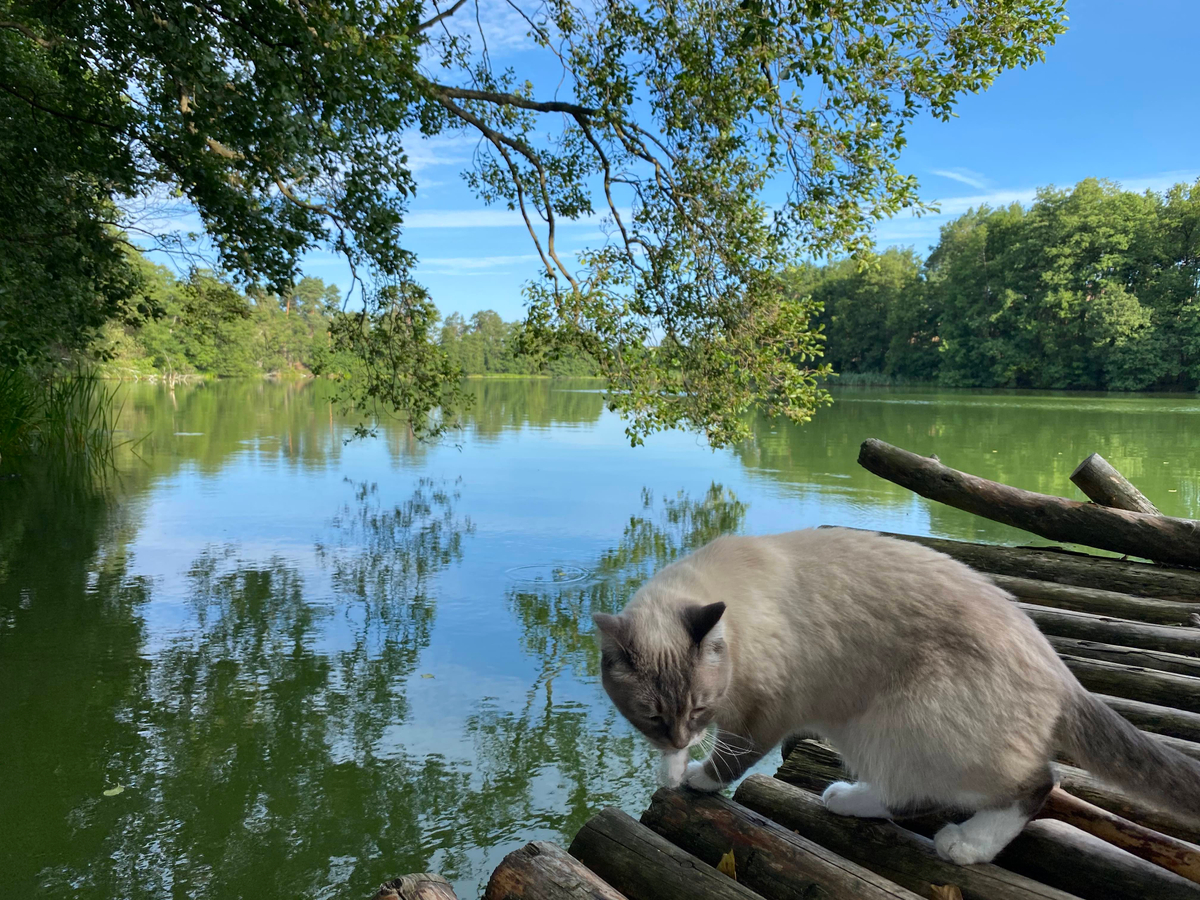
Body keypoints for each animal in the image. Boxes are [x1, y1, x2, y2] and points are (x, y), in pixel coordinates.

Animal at [592, 528, 1200, 868]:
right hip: (873, 730)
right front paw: (672, 769)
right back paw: (845, 798)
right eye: (653, 716)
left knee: (1035, 783)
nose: (681, 734)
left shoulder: (765, 711)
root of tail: (1059, 669)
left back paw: (965, 846)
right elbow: (680, 755)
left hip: (902, 723)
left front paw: (695, 779)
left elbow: (730, 757)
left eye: (698, 707)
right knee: (908, 793)